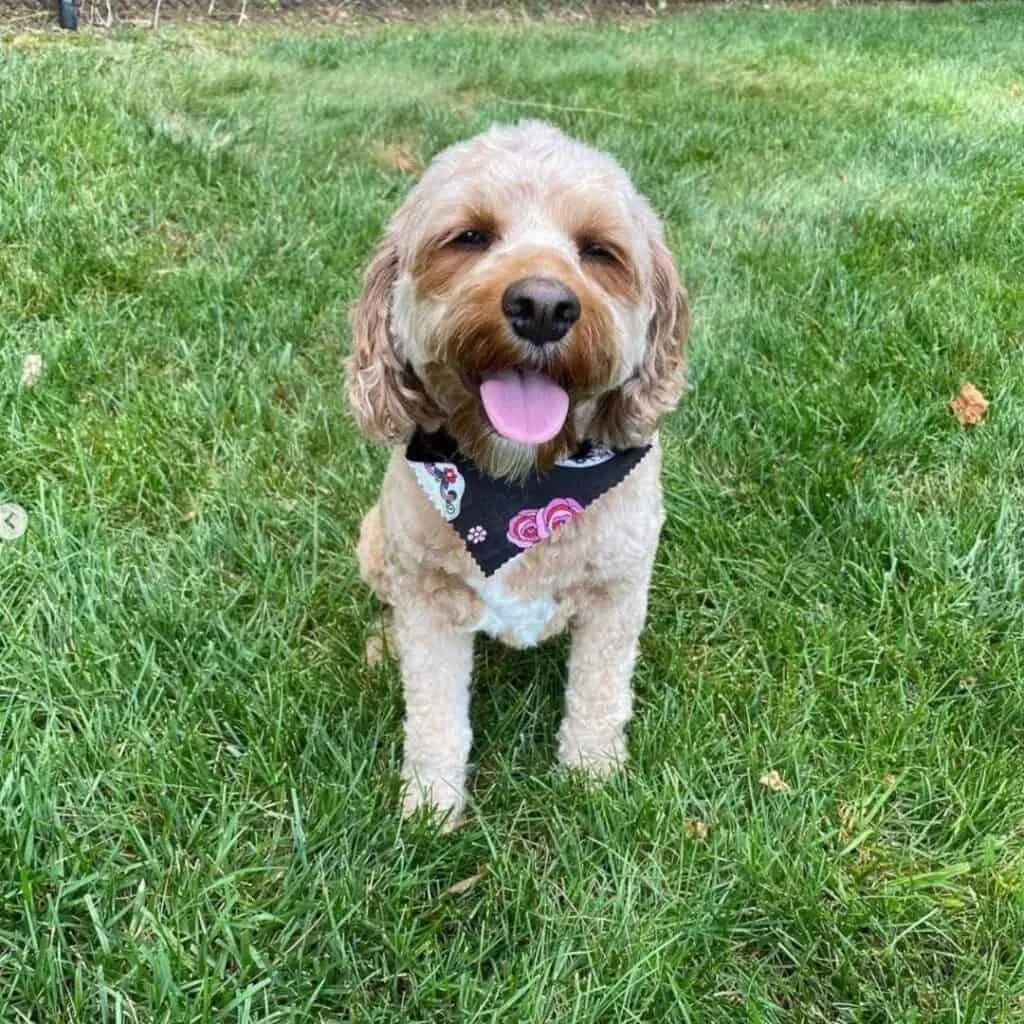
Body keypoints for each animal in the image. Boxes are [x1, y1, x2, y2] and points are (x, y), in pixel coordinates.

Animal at [344, 119, 688, 827]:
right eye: (470, 237)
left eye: (599, 252)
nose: (543, 304)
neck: (517, 486)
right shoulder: (428, 599)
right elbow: (435, 714)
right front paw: (430, 806)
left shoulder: (619, 592)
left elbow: (599, 692)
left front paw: (592, 777)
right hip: (374, 540)